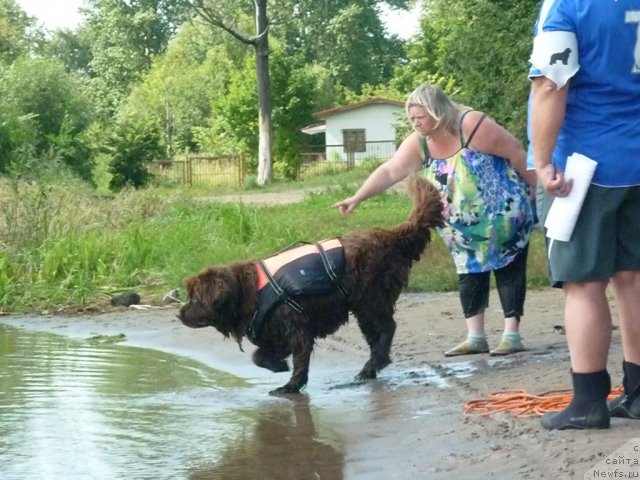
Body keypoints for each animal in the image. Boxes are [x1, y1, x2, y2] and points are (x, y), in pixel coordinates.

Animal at [178, 175, 442, 394]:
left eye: (194, 298)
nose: (178, 314)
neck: (249, 291)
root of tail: (390, 235)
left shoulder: (297, 328)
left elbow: (298, 359)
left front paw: (289, 386)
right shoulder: (275, 333)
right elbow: (259, 356)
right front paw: (278, 366)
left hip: (370, 299)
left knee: (386, 328)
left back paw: (370, 366)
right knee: (377, 335)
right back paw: (372, 367)